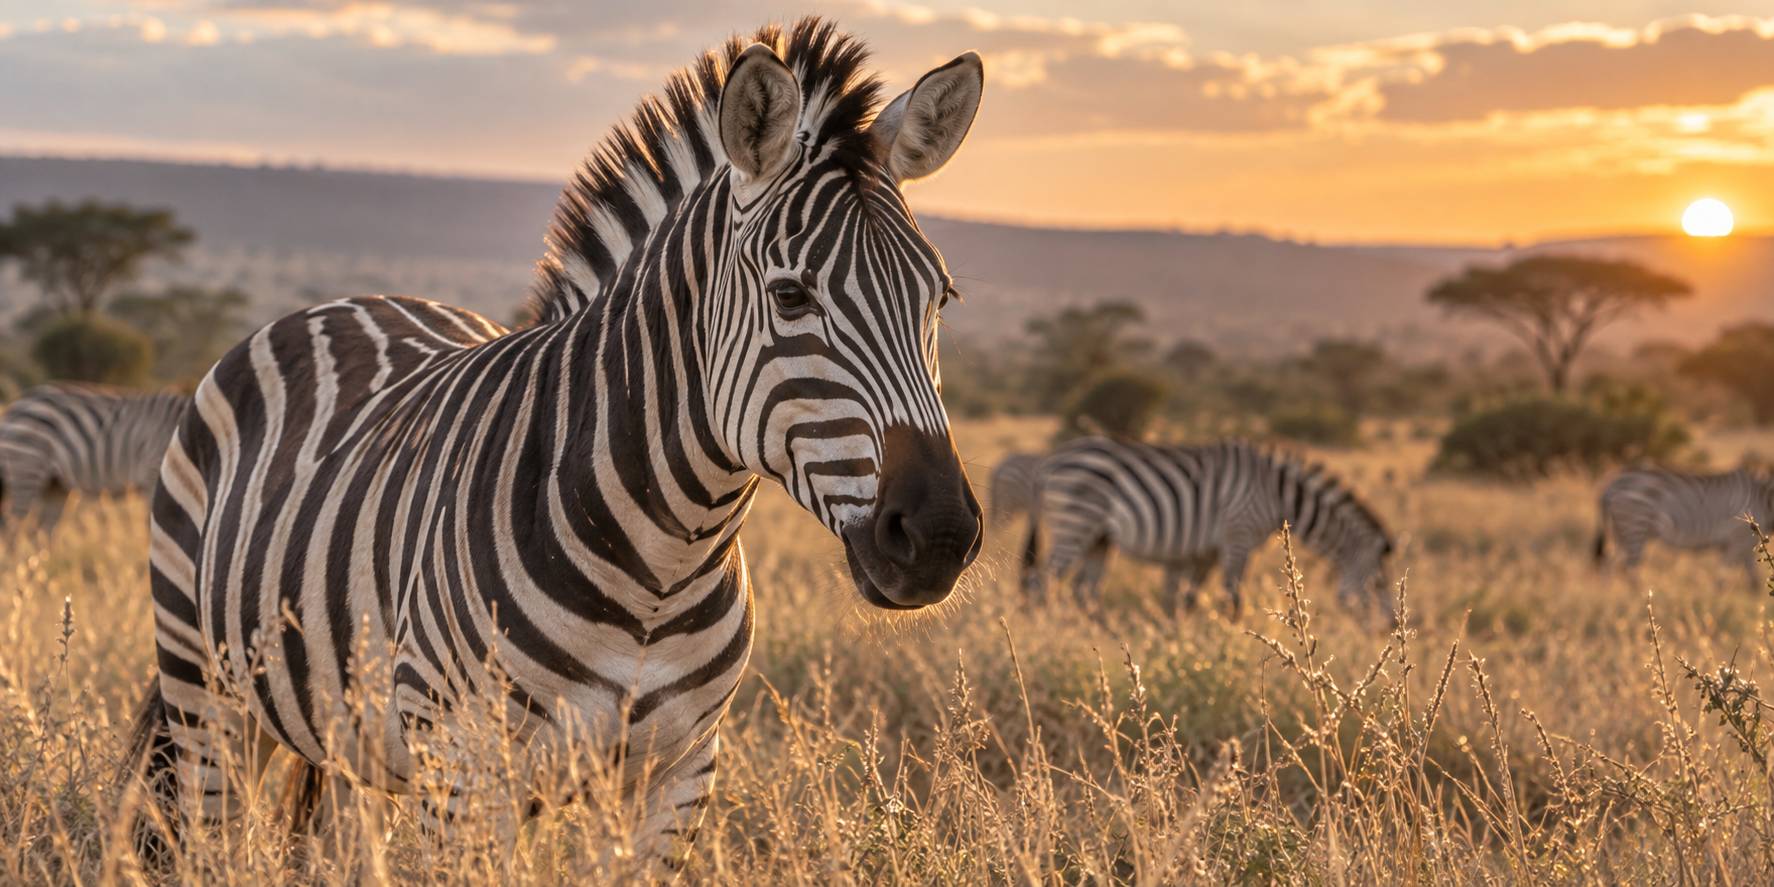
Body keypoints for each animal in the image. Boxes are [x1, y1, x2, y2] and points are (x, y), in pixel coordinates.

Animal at [0, 382, 186, 533]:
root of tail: (16, 403)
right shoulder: (153, 476)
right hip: (26, 468)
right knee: (12, 529)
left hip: (54, 485)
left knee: (44, 531)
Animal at [128, 20, 985, 872]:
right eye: (790, 295)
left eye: (941, 297)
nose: (939, 534)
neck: (664, 567)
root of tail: (343, 301)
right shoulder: (466, 770)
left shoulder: (679, 776)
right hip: (207, 693)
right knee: (207, 837)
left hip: (349, 733)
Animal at [1021, 437, 1394, 620]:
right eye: (1378, 584)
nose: (1391, 626)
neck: (1277, 495)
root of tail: (1049, 461)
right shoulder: (1238, 535)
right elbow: (1233, 599)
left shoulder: (1207, 551)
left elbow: (1188, 599)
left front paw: (1185, 637)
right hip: (1075, 523)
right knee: (1042, 583)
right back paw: (1047, 631)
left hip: (1099, 537)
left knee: (1083, 592)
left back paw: (1093, 633)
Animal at [1594, 466, 1774, 589]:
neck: (1764, 500)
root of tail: (1613, 483)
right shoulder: (1738, 540)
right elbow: (1722, 579)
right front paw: (1716, 604)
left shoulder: (1743, 545)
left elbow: (1753, 580)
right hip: (1635, 525)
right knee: (1629, 568)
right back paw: (1638, 599)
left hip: (1620, 531)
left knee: (1609, 564)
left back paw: (1608, 598)